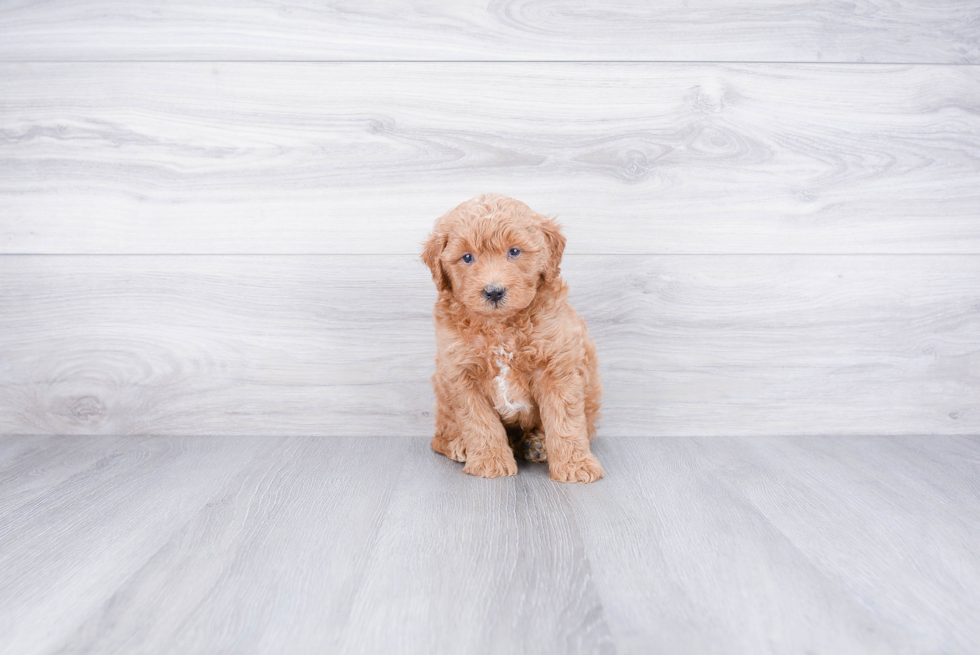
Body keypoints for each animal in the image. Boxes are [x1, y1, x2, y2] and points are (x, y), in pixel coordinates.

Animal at [422, 192, 604, 484]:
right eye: (467, 257)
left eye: (514, 252)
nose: (494, 291)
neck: (500, 327)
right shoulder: (461, 373)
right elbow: (480, 423)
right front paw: (490, 461)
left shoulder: (556, 367)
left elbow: (565, 421)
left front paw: (575, 465)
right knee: (440, 435)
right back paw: (460, 445)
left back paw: (538, 444)